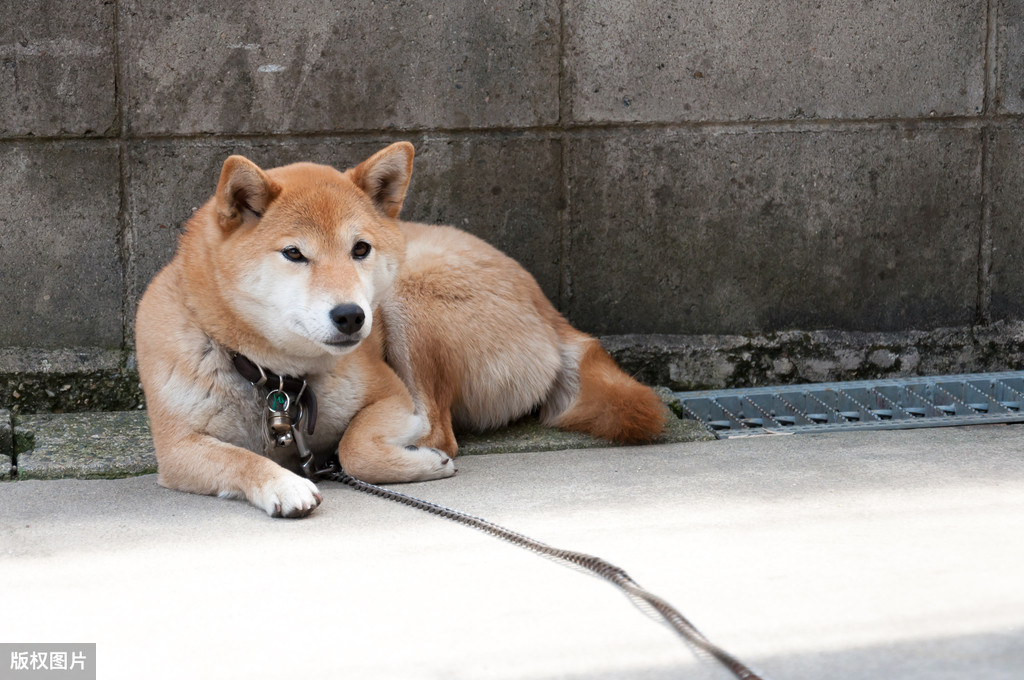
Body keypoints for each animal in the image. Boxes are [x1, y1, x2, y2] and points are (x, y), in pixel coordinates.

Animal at [134, 142, 663, 516]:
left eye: (360, 249)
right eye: (294, 253)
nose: (351, 316)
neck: (275, 379)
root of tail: (549, 309)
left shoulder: (388, 393)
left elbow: (355, 449)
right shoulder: (178, 450)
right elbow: (241, 459)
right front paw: (282, 483)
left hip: (407, 299)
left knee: (438, 426)